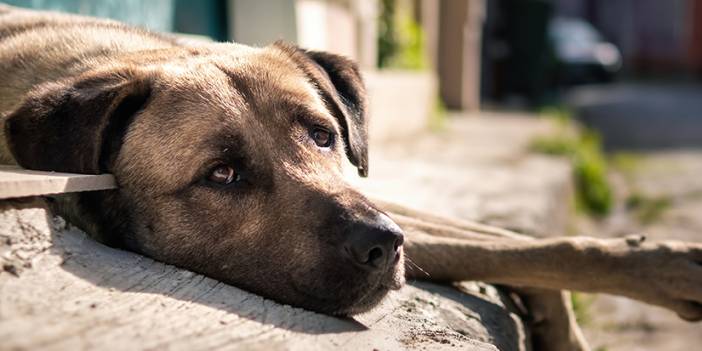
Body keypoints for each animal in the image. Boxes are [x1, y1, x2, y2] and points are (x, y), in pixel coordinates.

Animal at [1, 6, 702, 351]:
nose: (382, 245)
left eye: (322, 135)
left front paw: (650, 272)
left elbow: (512, 240)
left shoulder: (374, 196)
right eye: (221, 174)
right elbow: (502, 245)